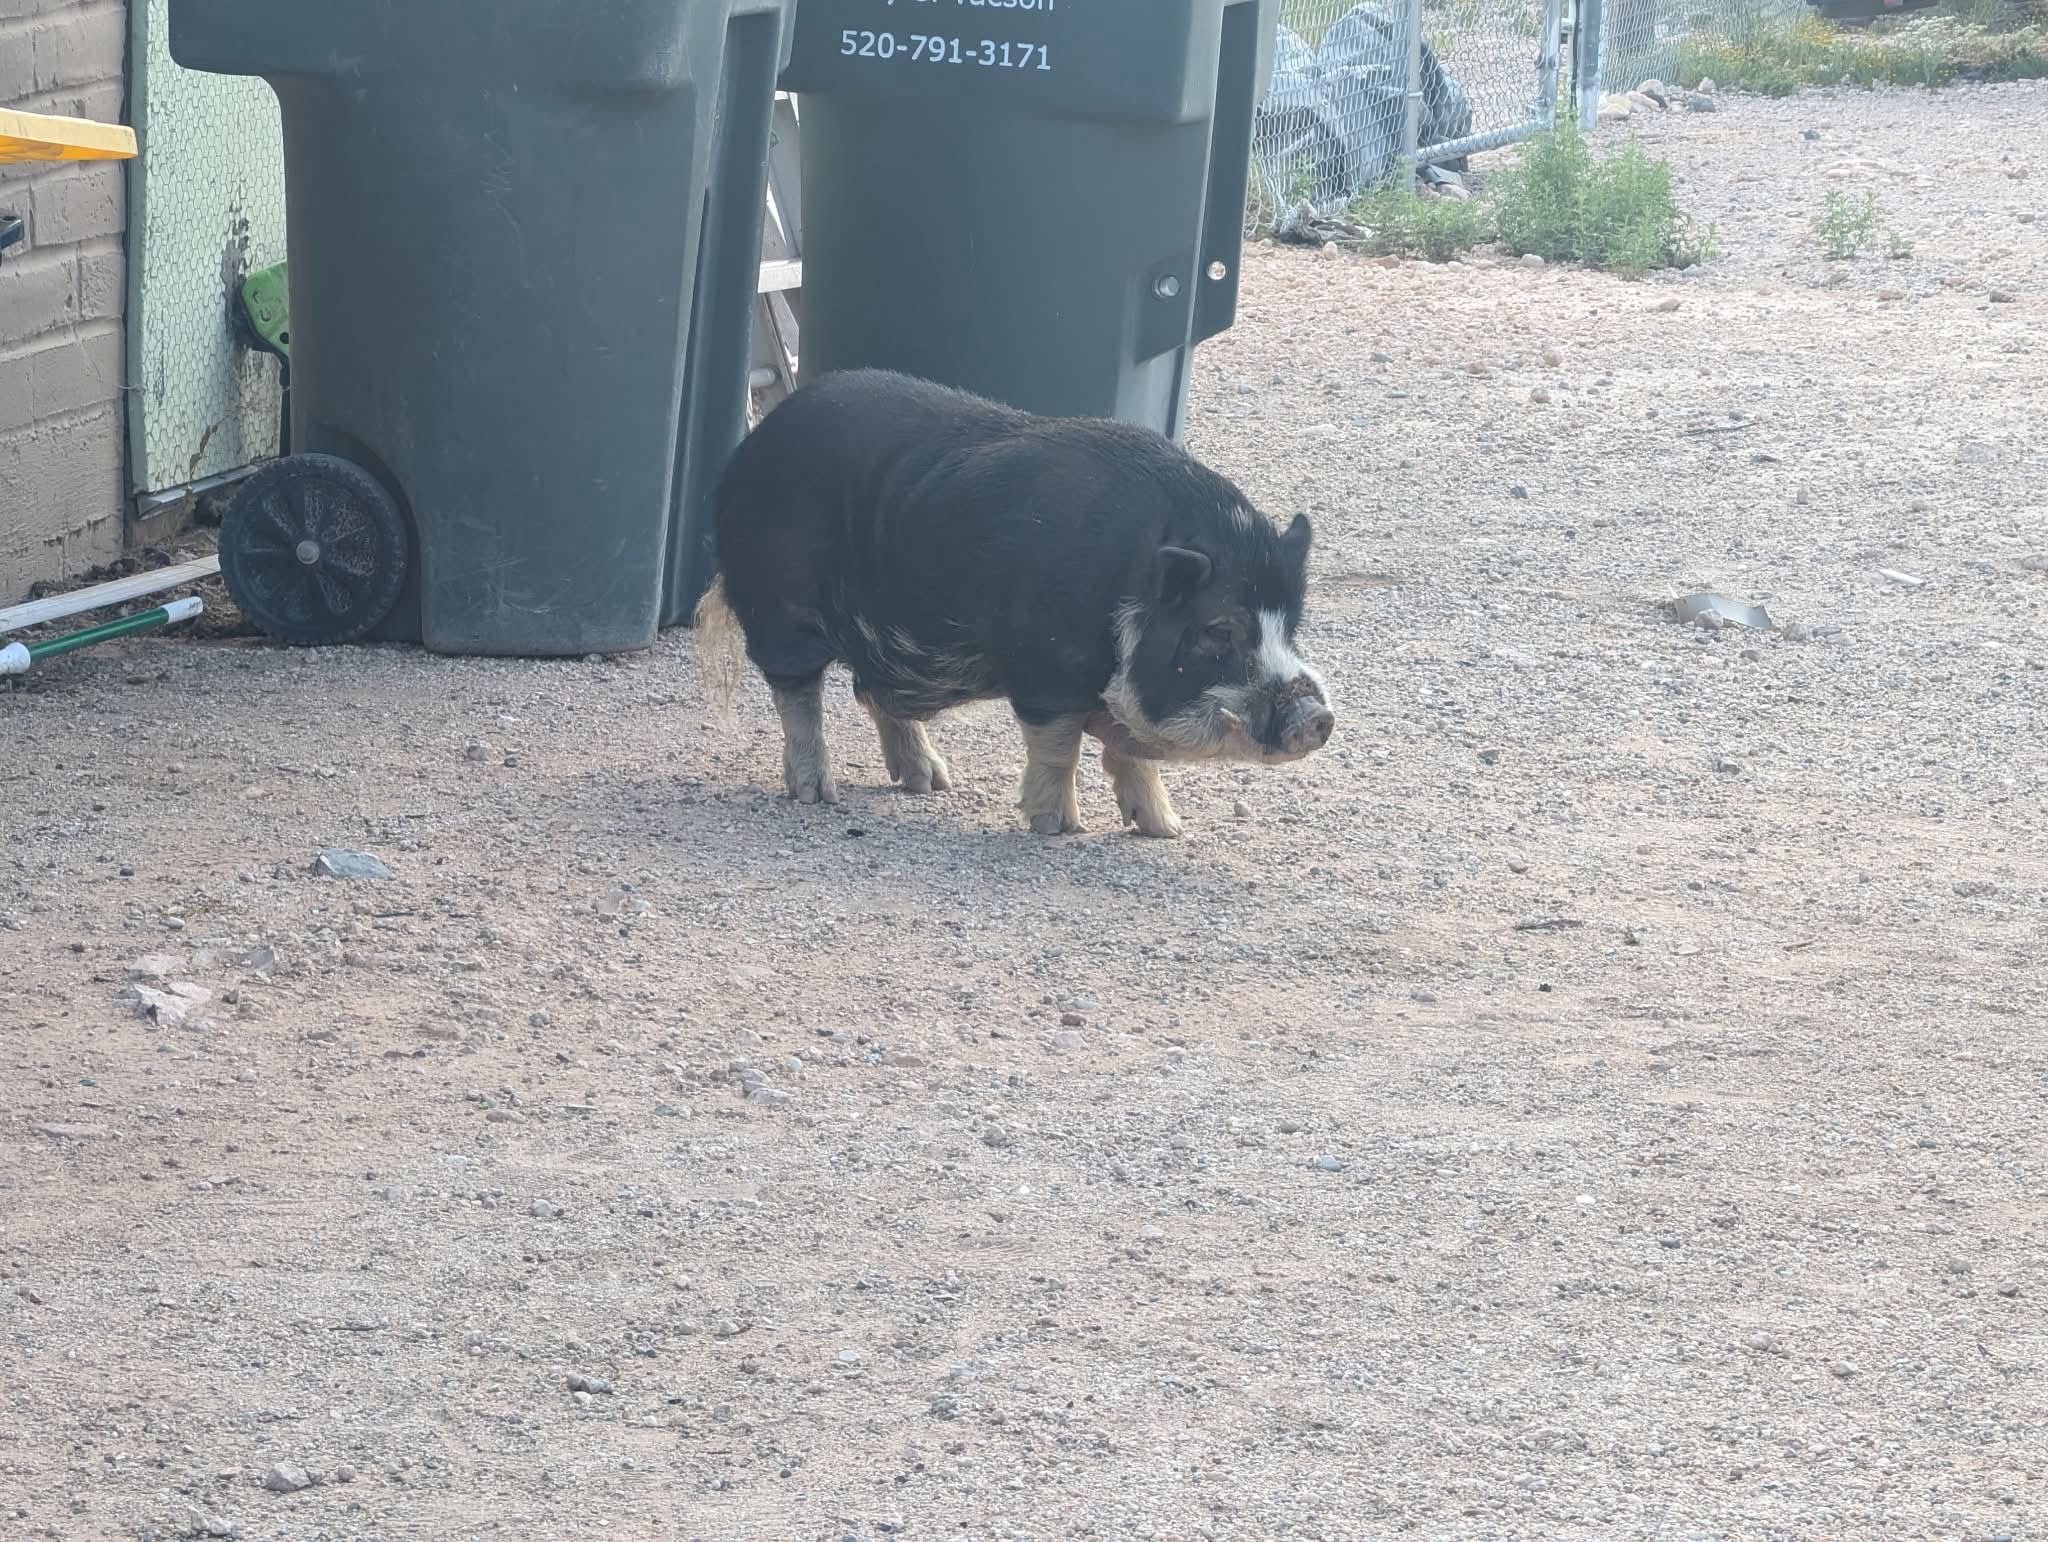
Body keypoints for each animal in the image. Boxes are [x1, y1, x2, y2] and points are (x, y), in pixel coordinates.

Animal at [692, 368, 1334, 838]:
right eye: (1220, 630)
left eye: (1290, 627)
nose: (1318, 716)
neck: (1126, 586)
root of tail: (749, 450)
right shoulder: (1046, 673)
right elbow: (1060, 750)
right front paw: (1059, 829)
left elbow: (1134, 758)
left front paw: (1167, 831)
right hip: (781, 612)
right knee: (798, 696)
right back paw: (816, 794)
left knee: (872, 694)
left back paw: (931, 784)